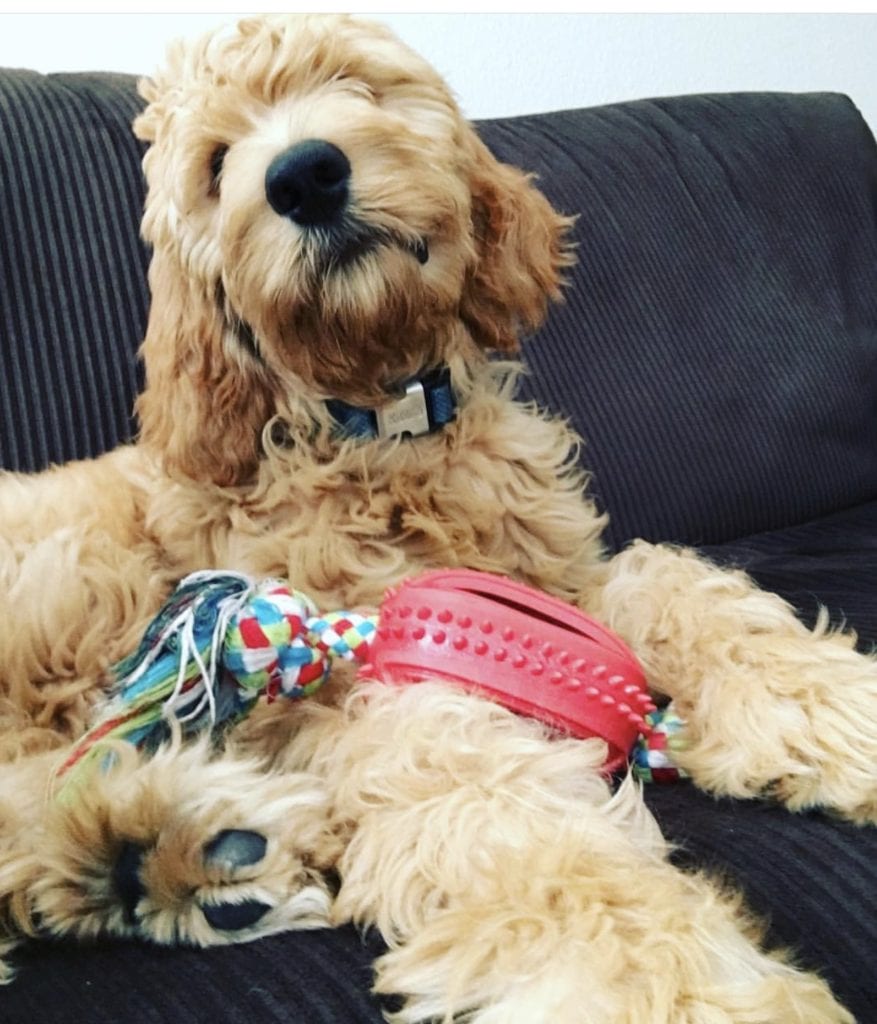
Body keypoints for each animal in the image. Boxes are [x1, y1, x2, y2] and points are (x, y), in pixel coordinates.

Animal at [0, 12, 872, 1019]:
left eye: (354, 84)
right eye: (218, 164)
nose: (303, 174)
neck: (382, 425)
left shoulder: (549, 578)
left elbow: (672, 584)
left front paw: (832, 709)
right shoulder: (356, 680)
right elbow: (490, 801)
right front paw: (662, 978)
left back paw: (165, 852)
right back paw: (167, 845)